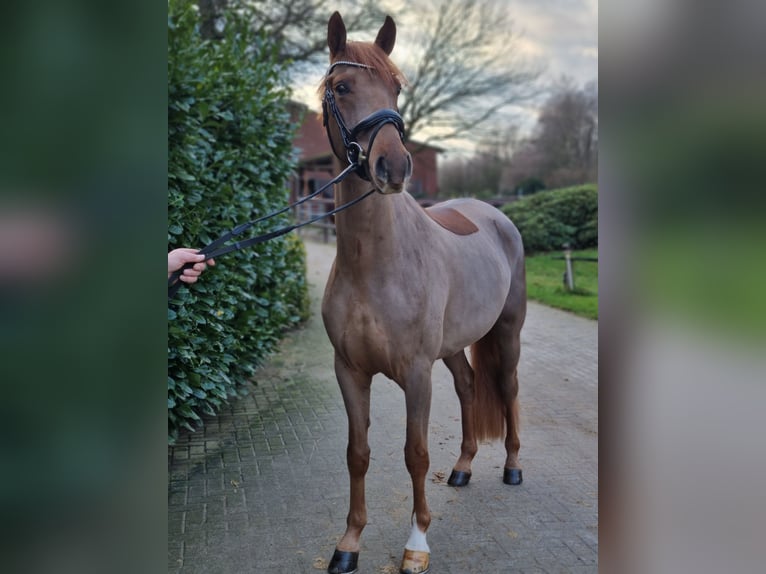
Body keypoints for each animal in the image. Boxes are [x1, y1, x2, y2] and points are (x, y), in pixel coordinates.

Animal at [318, 12, 528, 574]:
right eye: (342, 87)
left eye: (395, 87)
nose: (393, 167)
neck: (375, 265)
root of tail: (495, 214)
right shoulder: (349, 372)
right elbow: (357, 453)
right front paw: (349, 543)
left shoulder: (415, 374)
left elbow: (415, 455)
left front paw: (417, 544)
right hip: (453, 347)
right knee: (470, 386)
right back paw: (464, 467)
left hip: (508, 333)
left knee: (508, 388)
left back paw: (512, 467)